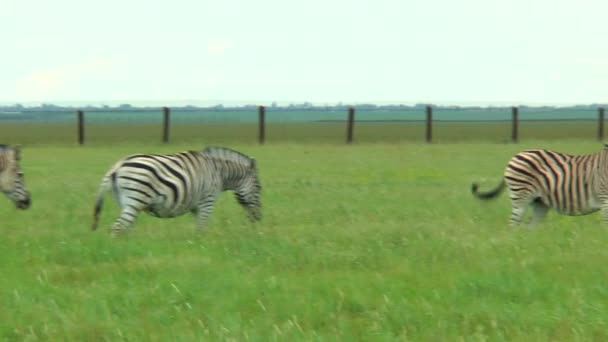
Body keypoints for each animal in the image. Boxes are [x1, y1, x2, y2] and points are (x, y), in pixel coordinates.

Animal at [92, 144, 262, 235]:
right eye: (259, 189)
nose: (258, 218)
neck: (219, 172)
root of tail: (117, 166)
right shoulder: (207, 201)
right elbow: (202, 228)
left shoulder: (195, 205)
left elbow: (198, 228)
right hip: (136, 199)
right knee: (117, 228)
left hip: (125, 202)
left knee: (125, 228)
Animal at [472, 145, 608, 227]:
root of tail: (517, 154)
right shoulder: (604, 200)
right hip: (520, 196)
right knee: (513, 224)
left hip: (539, 202)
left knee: (530, 227)